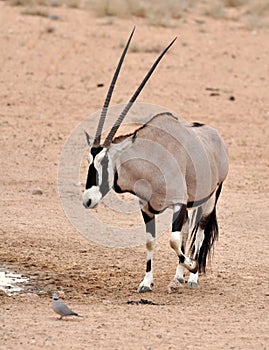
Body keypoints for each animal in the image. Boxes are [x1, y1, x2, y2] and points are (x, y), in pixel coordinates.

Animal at [82, 27, 228, 292]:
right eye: (89, 161)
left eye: (105, 162)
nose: (87, 200)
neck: (151, 162)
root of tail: (216, 137)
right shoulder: (147, 207)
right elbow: (152, 241)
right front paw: (146, 282)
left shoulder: (178, 204)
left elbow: (173, 241)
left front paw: (192, 266)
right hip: (193, 203)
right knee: (188, 232)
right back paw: (178, 276)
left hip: (210, 198)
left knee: (199, 232)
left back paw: (192, 277)